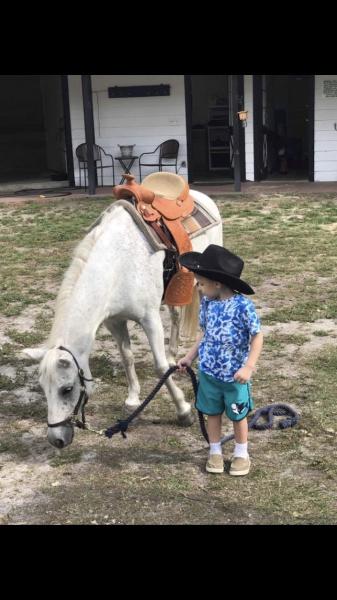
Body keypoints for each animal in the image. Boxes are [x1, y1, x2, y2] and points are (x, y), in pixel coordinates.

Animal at [25, 186, 222, 446]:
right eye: (43, 388)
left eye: (66, 389)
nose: (56, 439)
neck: (118, 265)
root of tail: (202, 196)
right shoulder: (114, 322)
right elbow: (127, 357)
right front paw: (132, 400)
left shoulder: (150, 319)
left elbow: (160, 367)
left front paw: (184, 411)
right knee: (176, 316)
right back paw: (173, 355)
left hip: (205, 284)